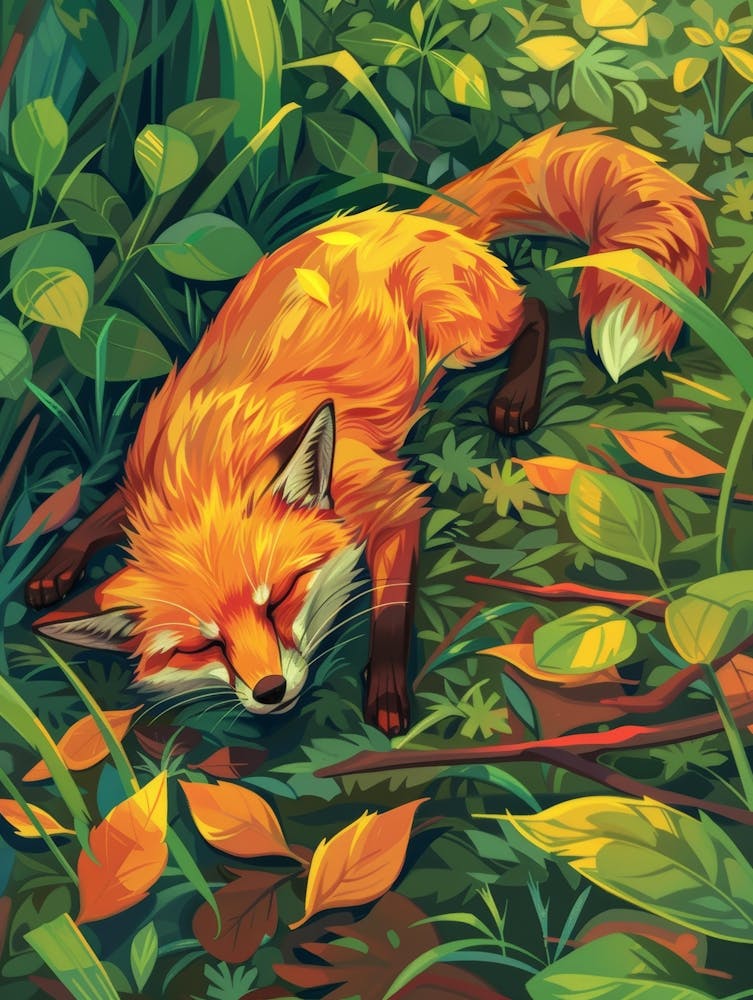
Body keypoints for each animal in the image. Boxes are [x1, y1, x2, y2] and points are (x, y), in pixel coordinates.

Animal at [26, 126, 709, 736]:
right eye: (201, 647)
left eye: (279, 598)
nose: (271, 691)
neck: (208, 465)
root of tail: (407, 216)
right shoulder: (145, 466)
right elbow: (102, 511)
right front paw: (56, 569)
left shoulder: (390, 500)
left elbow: (390, 611)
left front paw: (385, 692)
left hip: (464, 341)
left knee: (535, 309)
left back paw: (515, 399)